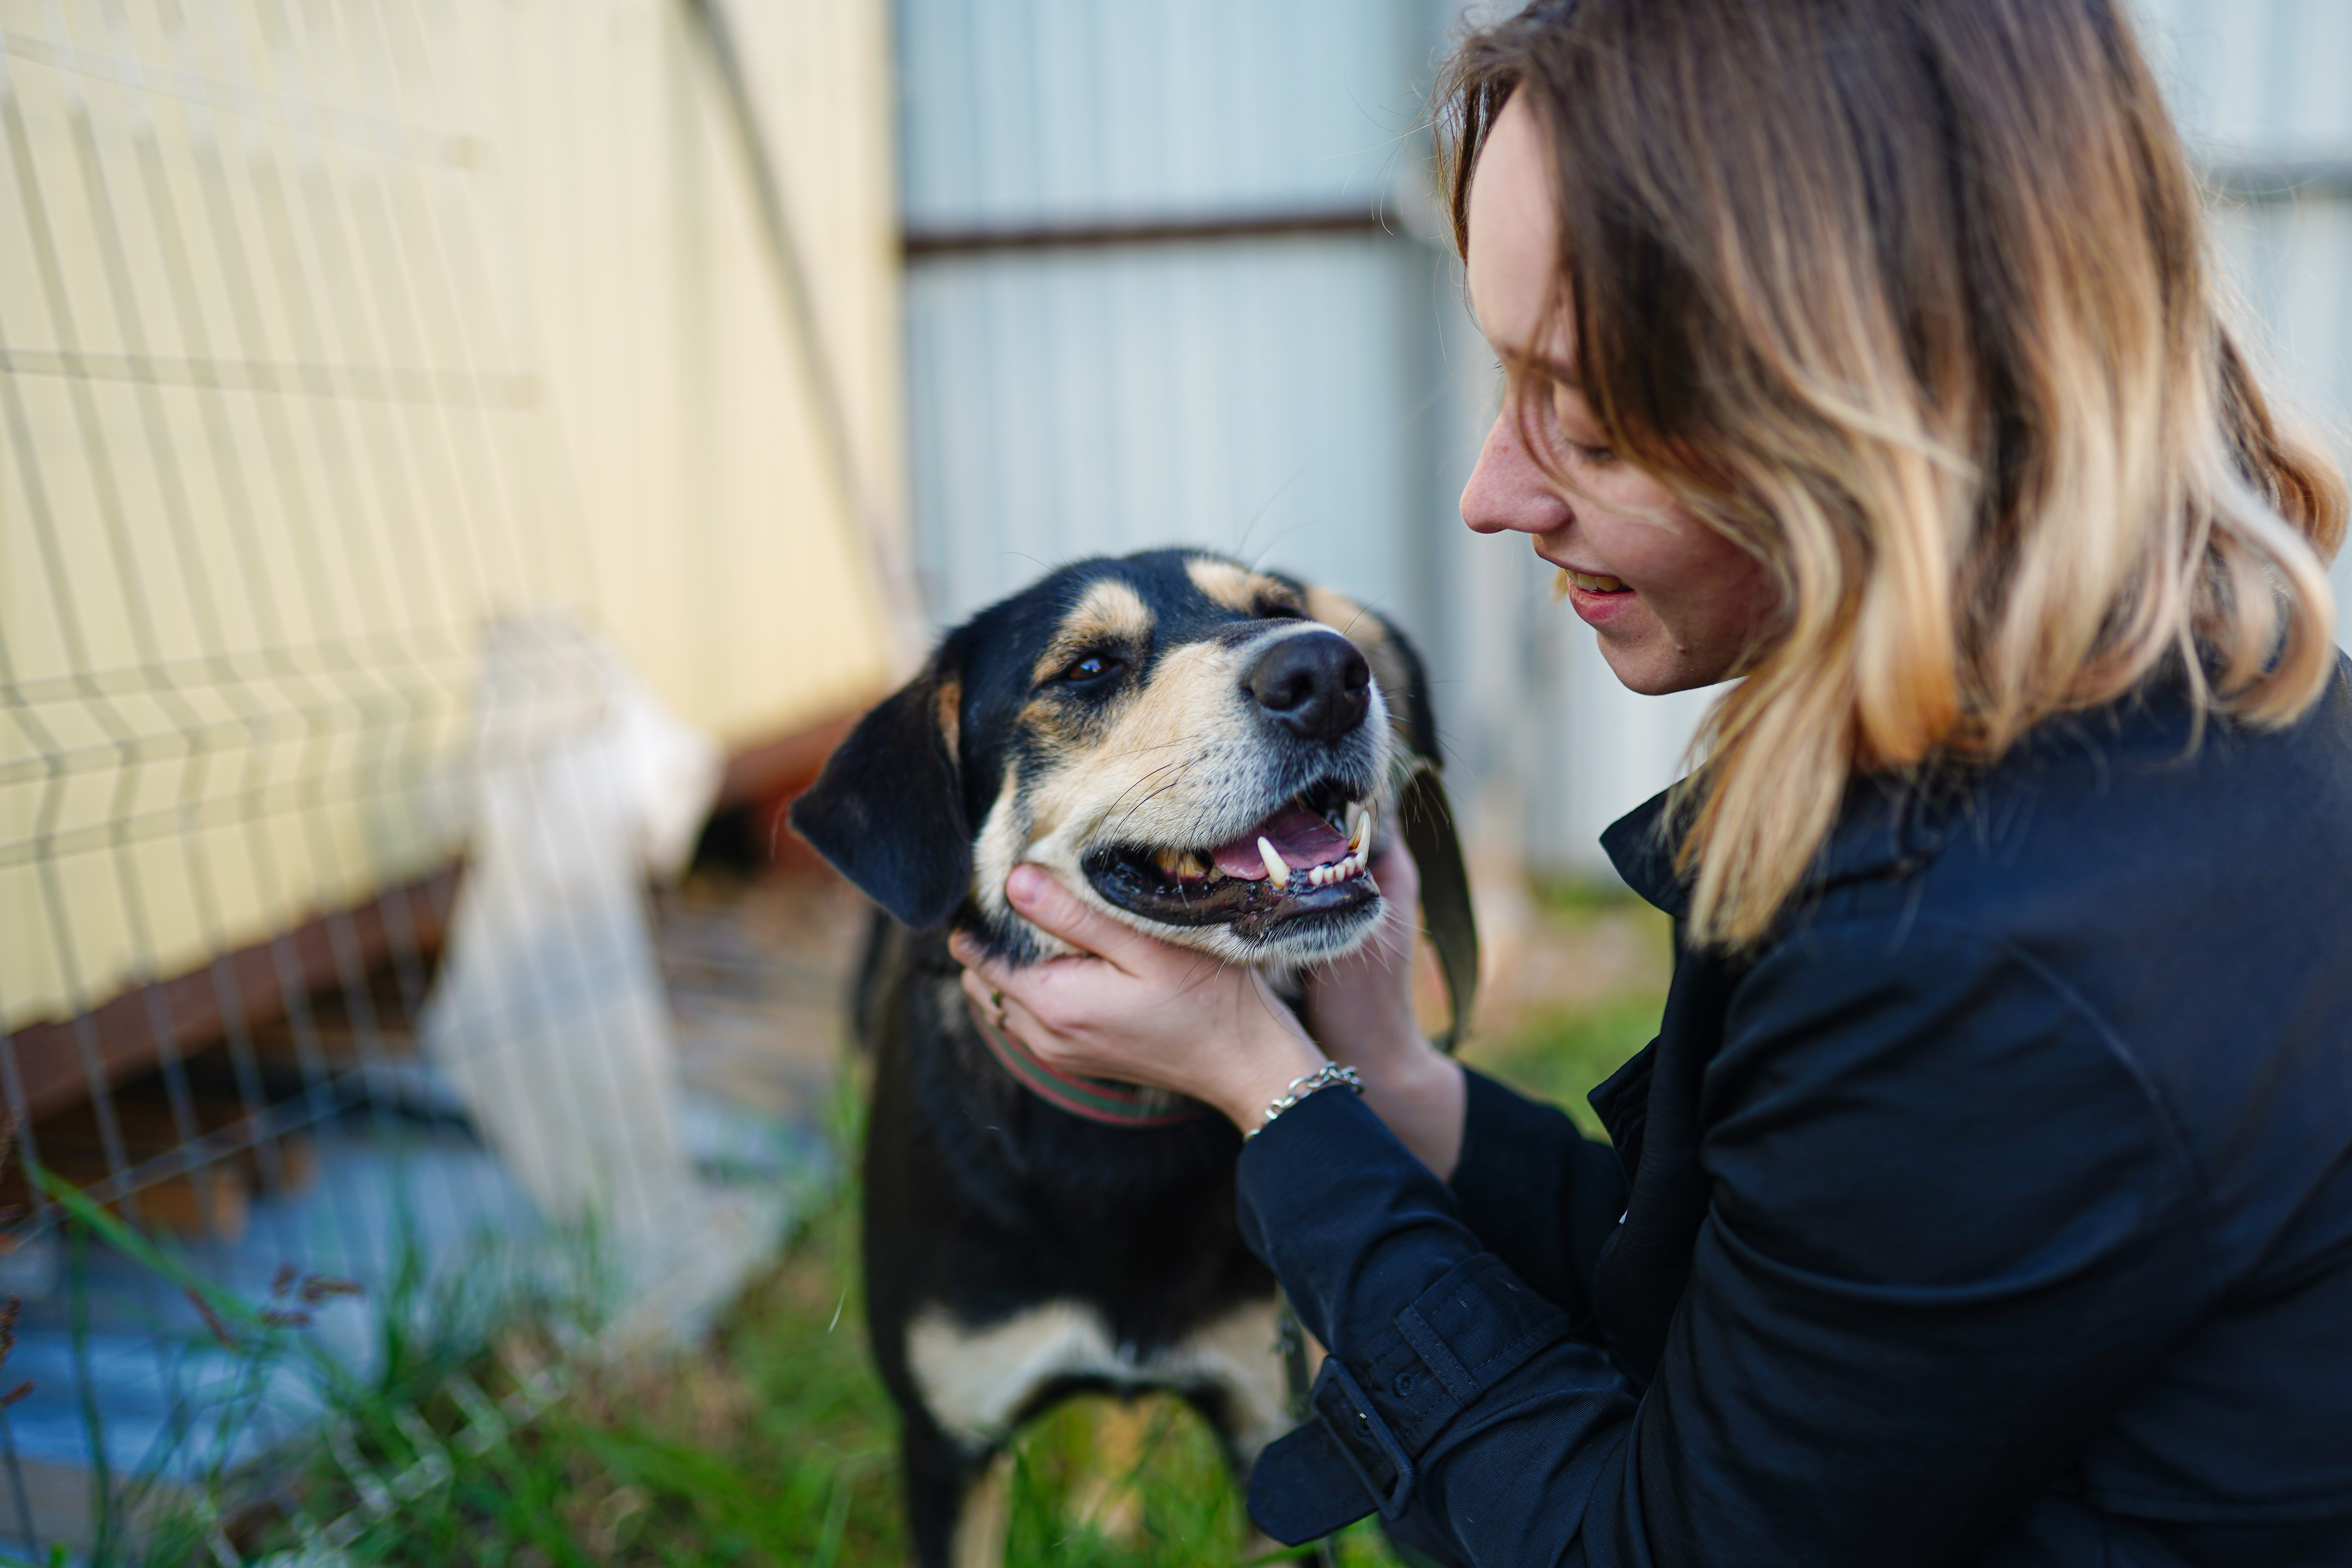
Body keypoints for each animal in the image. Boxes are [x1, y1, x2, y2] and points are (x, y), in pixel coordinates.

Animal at [790, 552, 1468, 1568]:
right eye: (1088, 669)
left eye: (1279, 608)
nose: (1328, 672)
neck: (1119, 1119)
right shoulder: (949, 1442)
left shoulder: (1272, 1428)